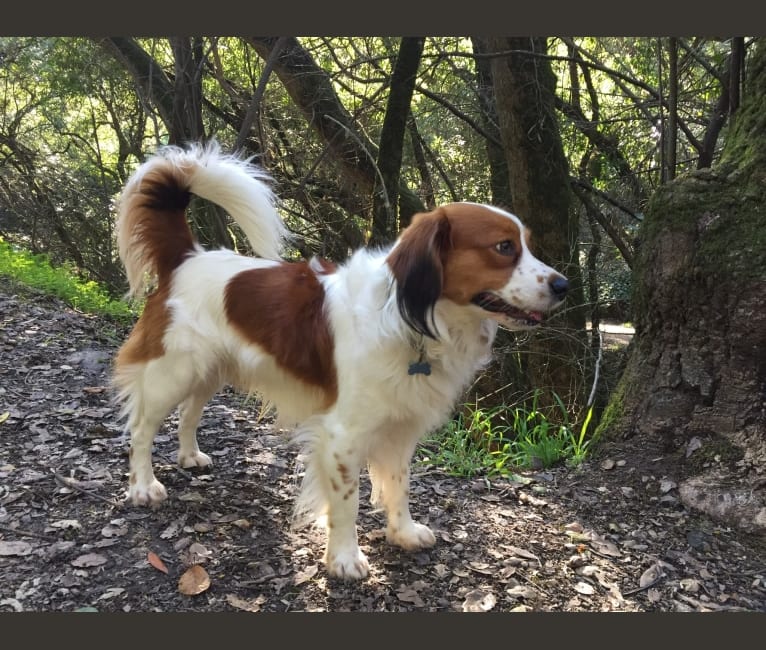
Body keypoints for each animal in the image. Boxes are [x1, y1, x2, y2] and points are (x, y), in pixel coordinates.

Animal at [114, 140, 568, 576]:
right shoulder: (343, 434)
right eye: (504, 247)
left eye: (527, 246)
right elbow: (347, 502)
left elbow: (400, 484)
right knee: (141, 429)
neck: (414, 321)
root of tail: (187, 257)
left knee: (189, 413)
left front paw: (402, 533)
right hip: (173, 370)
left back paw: (190, 456)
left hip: (209, 370)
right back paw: (142, 486)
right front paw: (345, 559)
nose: (564, 285)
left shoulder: (401, 426)